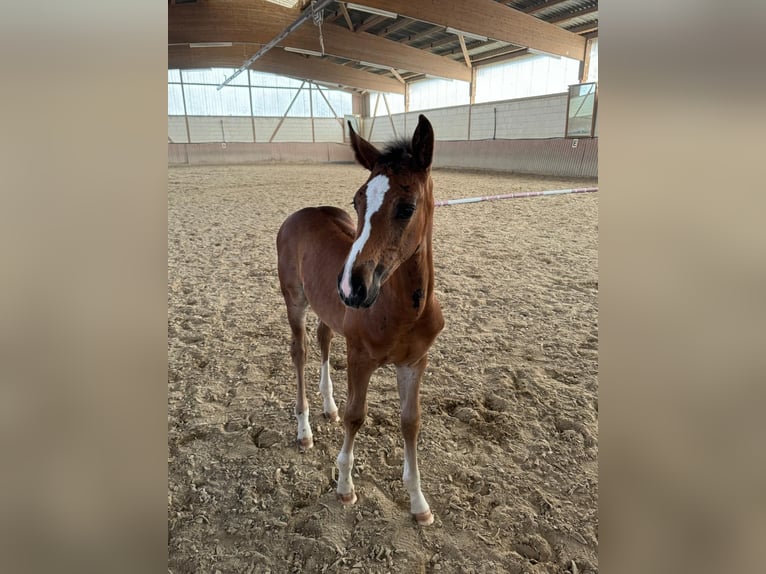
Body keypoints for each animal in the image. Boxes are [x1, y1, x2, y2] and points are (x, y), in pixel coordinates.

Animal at [276, 116, 444, 528]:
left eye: (407, 207)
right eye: (357, 201)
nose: (351, 287)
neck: (405, 309)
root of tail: (300, 213)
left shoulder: (415, 362)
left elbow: (411, 421)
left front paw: (419, 503)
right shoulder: (360, 358)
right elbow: (356, 417)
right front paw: (344, 486)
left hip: (327, 309)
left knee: (323, 338)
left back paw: (328, 406)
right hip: (295, 300)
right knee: (300, 351)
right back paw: (304, 430)